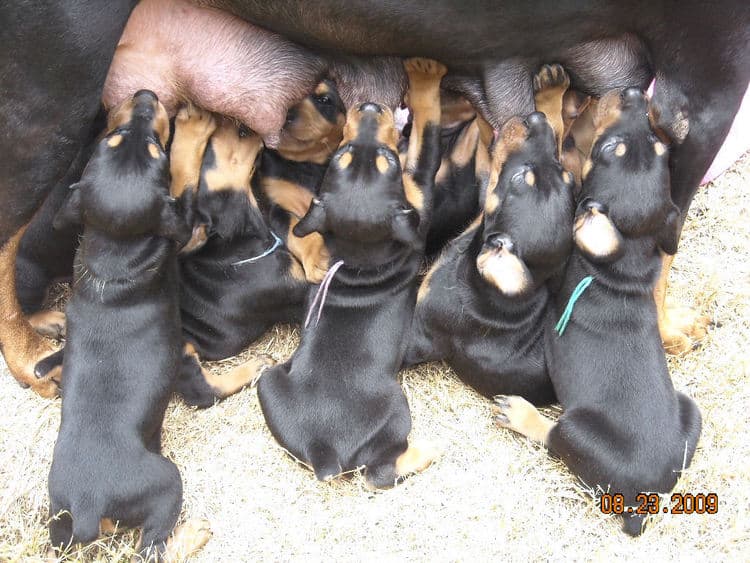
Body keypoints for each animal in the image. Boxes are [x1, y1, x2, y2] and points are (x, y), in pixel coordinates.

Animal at [46, 91, 212, 560]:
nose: (146, 96)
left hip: (59, 517)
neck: (114, 251)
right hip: (165, 482)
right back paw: (193, 534)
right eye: (157, 151)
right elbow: (185, 183)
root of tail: (89, 504)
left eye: (112, 136)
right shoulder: (180, 234)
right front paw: (194, 130)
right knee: (152, 546)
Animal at [253, 79, 346, 282]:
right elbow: (297, 231)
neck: (305, 163)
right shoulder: (276, 208)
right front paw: (317, 259)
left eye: (324, 99)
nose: (285, 114)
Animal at [406, 66, 576, 406]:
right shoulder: (483, 194)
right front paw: (550, 96)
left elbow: (424, 149)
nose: (535, 118)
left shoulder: (417, 328)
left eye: (520, 178)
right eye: (562, 173)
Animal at [494, 88, 704, 536]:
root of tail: (642, 503)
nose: (634, 92)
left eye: (608, 149)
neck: (624, 258)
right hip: (691, 412)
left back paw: (521, 414)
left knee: (555, 438)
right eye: (659, 148)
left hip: (576, 428)